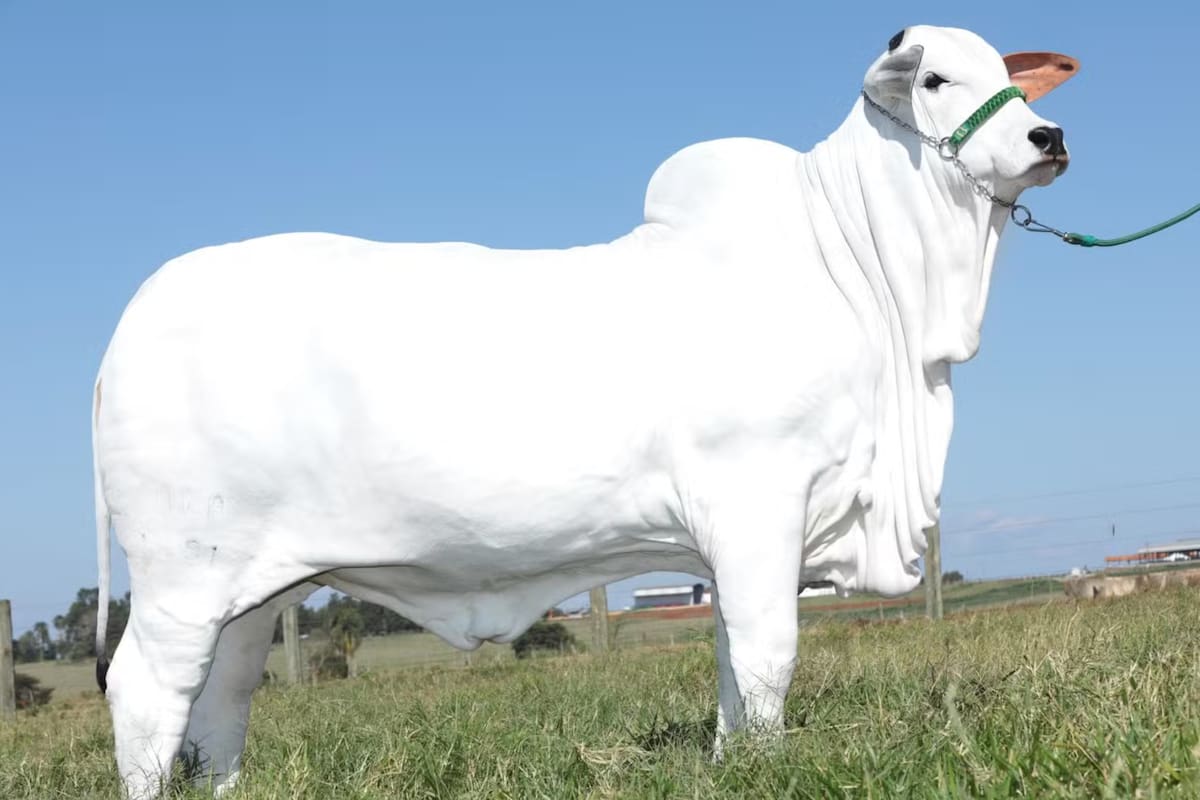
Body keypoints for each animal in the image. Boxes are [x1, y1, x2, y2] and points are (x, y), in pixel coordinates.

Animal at [92, 25, 1077, 798]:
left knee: (220, 698)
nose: (1048, 134)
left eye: (1008, 74)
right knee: (144, 690)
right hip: (181, 574)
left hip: (251, 588)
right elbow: (767, 653)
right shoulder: (759, 501)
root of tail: (134, 317)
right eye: (936, 78)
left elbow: (730, 661)